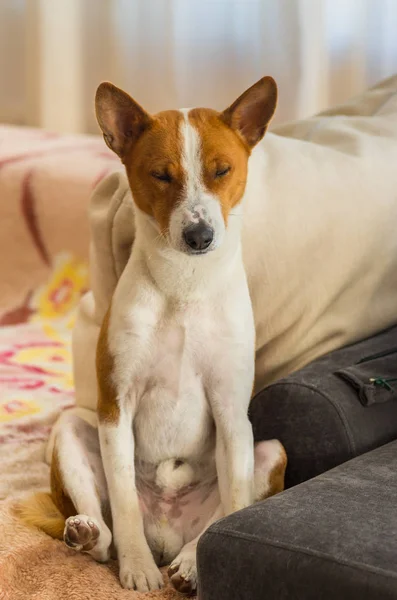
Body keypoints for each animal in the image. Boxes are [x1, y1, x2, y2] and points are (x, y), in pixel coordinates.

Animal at [17, 76, 284, 596]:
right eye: (161, 175)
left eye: (222, 171)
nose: (199, 236)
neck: (184, 285)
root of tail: (167, 531)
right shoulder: (116, 405)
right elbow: (122, 500)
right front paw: (137, 568)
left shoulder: (230, 413)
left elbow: (235, 501)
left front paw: (200, 563)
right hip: (73, 428)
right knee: (104, 533)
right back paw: (92, 536)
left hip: (269, 449)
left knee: (217, 518)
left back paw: (190, 563)